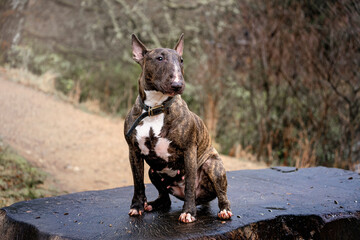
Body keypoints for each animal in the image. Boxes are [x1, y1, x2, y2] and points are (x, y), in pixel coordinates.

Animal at [124, 33, 232, 223]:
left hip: (213, 166)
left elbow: (189, 184)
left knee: (221, 194)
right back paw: (152, 204)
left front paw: (188, 212)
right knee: (165, 198)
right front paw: (137, 206)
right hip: (153, 171)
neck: (155, 108)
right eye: (159, 58)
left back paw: (224, 210)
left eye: (181, 60)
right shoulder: (134, 152)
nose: (178, 85)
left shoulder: (189, 151)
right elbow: (138, 182)